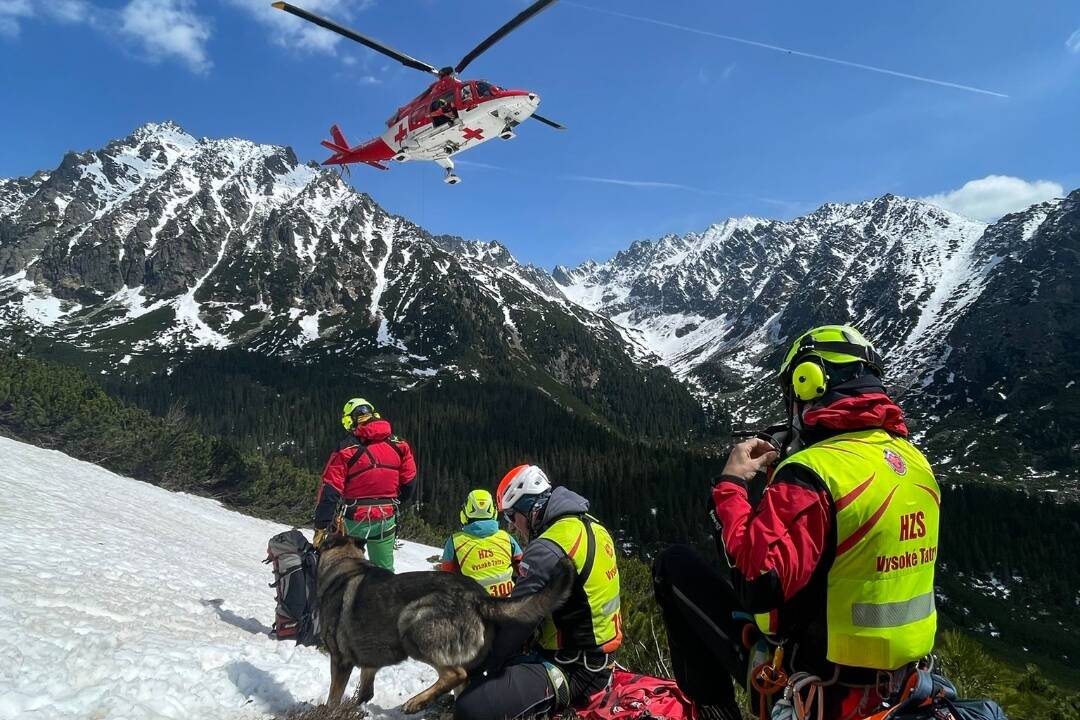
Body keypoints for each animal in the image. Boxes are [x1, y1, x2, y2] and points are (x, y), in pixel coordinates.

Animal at [317, 537, 578, 712]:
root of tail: (478, 597)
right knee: (462, 682)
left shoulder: (340, 660)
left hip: (413, 624)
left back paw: (417, 701)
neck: (346, 563)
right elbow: (364, 690)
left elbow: (333, 697)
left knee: (455, 674)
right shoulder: (368, 664)